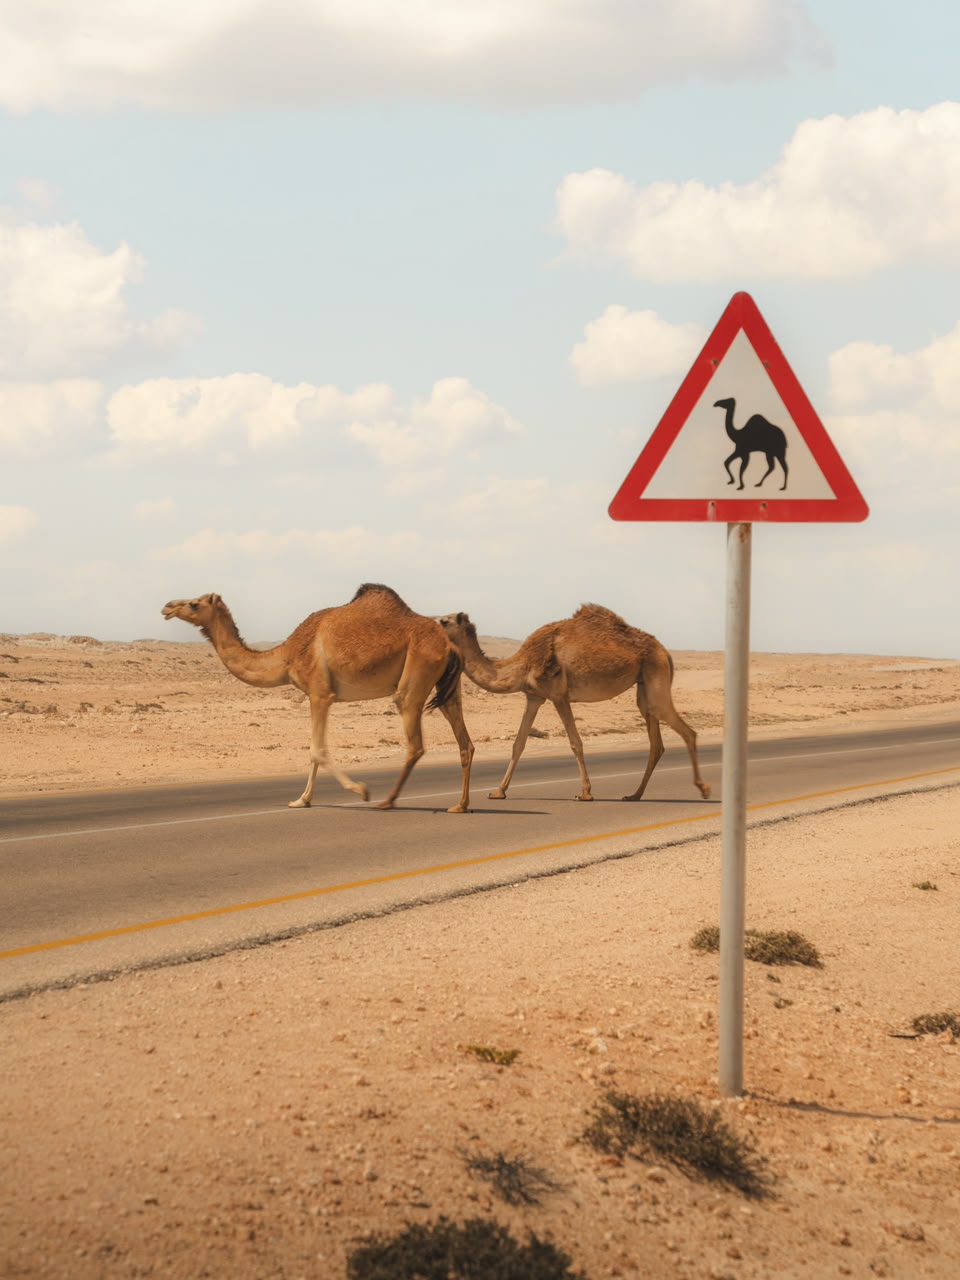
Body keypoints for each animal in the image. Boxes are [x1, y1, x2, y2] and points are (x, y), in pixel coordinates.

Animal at [161, 584, 474, 812]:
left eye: (194, 603)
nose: (167, 606)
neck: (287, 655)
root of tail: (450, 646)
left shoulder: (320, 693)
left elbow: (317, 750)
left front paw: (360, 790)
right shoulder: (320, 696)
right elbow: (314, 751)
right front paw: (302, 799)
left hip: (415, 676)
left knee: (415, 742)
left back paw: (387, 801)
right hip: (447, 687)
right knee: (464, 742)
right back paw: (459, 805)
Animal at [437, 605, 710, 803]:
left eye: (444, 621)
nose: (433, 624)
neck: (521, 665)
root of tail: (665, 651)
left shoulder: (559, 695)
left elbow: (575, 743)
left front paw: (585, 793)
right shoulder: (534, 696)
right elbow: (518, 744)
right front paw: (498, 791)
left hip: (655, 674)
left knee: (687, 731)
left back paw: (703, 788)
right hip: (644, 687)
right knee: (656, 743)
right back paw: (634, 795)